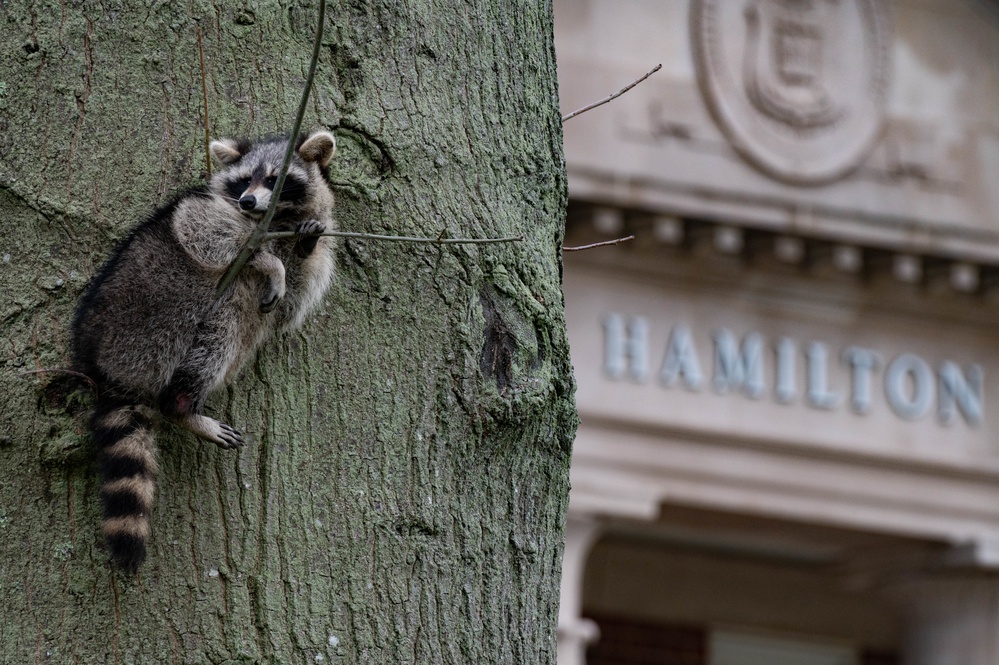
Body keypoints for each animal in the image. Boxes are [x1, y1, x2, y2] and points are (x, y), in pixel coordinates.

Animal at [74, 130, 338, 572]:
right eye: (243, 181)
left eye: (275, 179)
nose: (247, 202)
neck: (276, 219)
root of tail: (98, 362)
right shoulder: (204, 211)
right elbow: (209, 232)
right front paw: (270, 263)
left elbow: (293, 301)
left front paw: (307, 242)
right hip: (152, 316)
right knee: (217, 334)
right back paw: (183, 407)